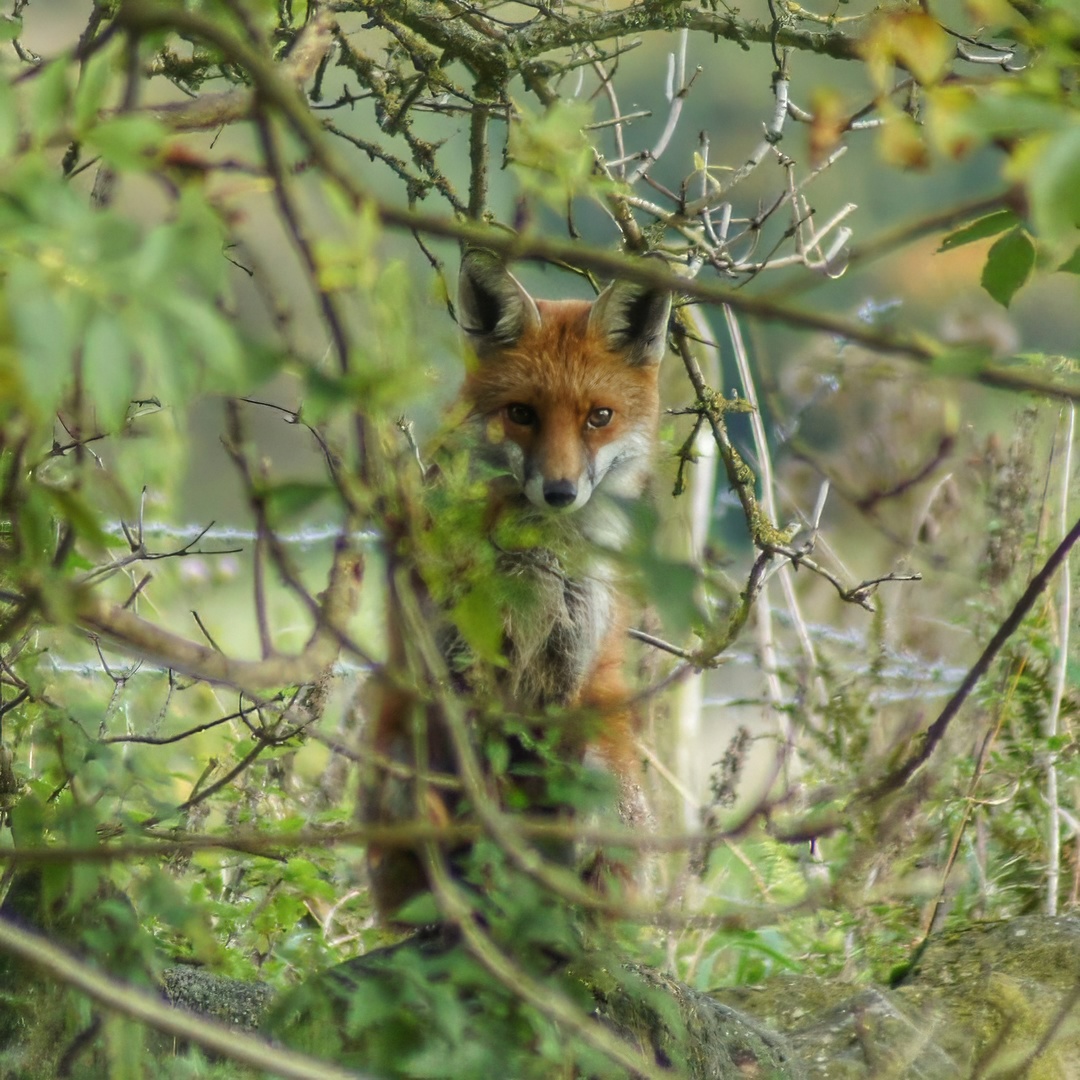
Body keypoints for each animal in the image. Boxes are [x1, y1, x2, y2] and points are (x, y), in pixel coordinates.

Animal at [362, 248, 672, 922]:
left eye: (599, 417)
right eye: (522, 414)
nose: (559, 492)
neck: (535, 569)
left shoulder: (567, 671)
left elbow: (542, 801)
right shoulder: (458, 668)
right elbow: (485, 797)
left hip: (606, 765)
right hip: (403, 765)